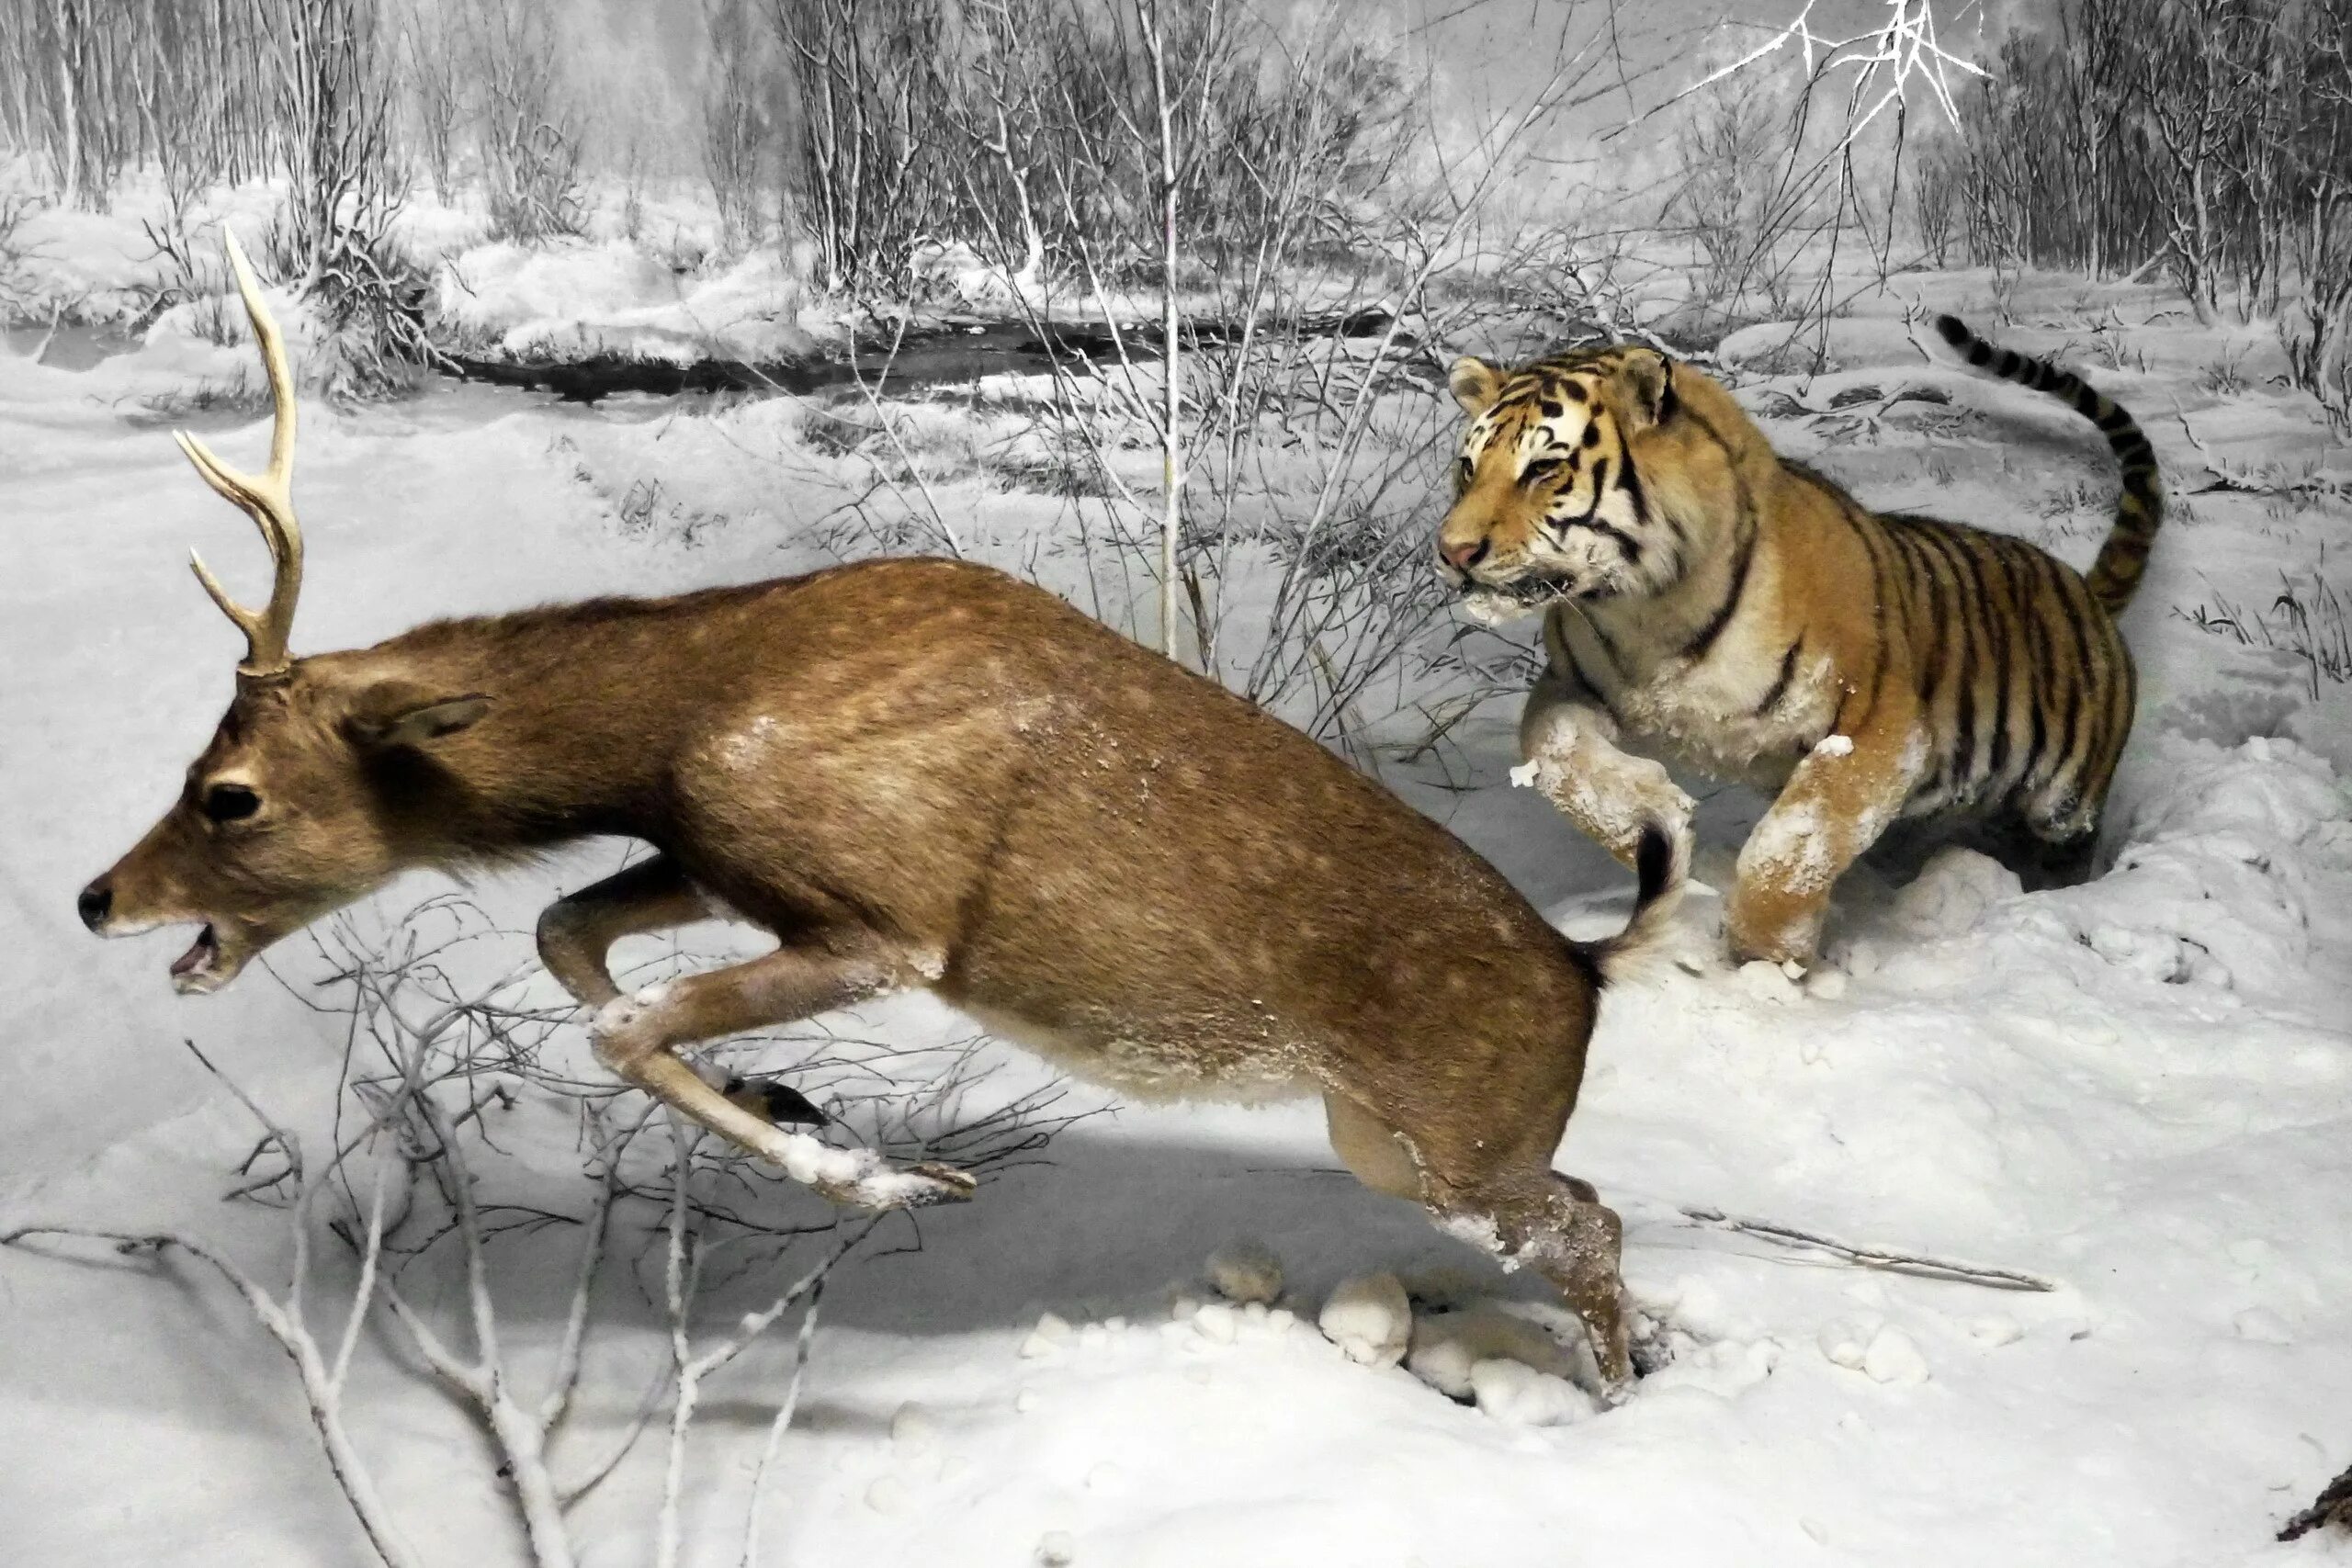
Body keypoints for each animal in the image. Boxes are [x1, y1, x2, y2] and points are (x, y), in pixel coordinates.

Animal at [78, 230, 1693, 1382]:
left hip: (1453, 1138)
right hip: (1389, 1133)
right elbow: (565, 933)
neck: (692, 707)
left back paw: (1615, 1393)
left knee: (1592, 1217)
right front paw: (784, 1093)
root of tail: (1583, 966)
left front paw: (884, 1172)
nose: (100, 895)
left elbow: (617, 1020)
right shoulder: (713, 853)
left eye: (227, 793)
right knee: (1588, 1204)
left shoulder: (887, 918)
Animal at [1420, 312, 2154, 964]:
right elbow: (1553, 752)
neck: (1646, 608)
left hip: (2063, 800)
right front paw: (1658, 819)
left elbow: (1794, 842)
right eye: (1467, 468)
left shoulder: (1878, 727)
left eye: (1544, 469)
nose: (1452, 551)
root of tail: (2088, 589)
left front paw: (1764, 961)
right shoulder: (1569, 684)